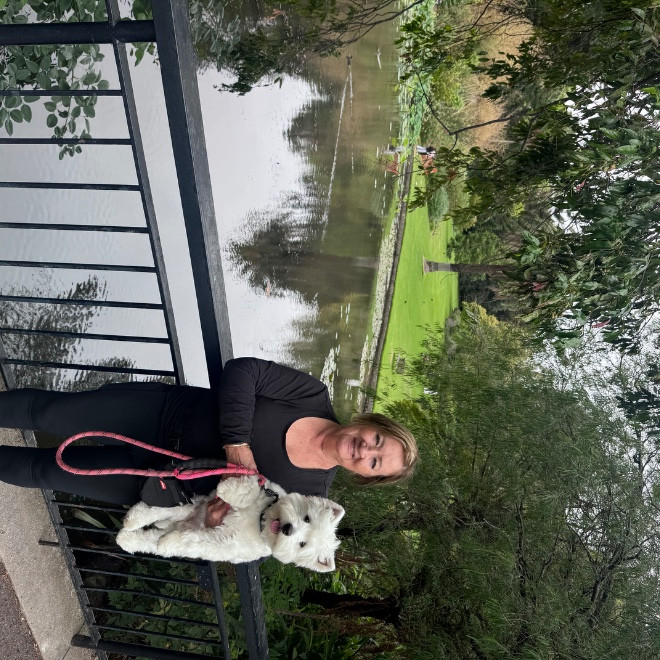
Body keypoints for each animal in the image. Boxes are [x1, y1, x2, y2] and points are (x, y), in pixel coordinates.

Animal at [116, 475, 345, 572]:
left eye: (302, 545)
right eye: (307, 518)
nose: (288, 528)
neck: (260, 520)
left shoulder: (224, 543)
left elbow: (195, 543)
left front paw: (168, 543)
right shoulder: (261, 489)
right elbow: (247, 488)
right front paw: (228, 490)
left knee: (150, 540)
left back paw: (128, 538)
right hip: (194, 506)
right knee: (163, 511)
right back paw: (133, 519)